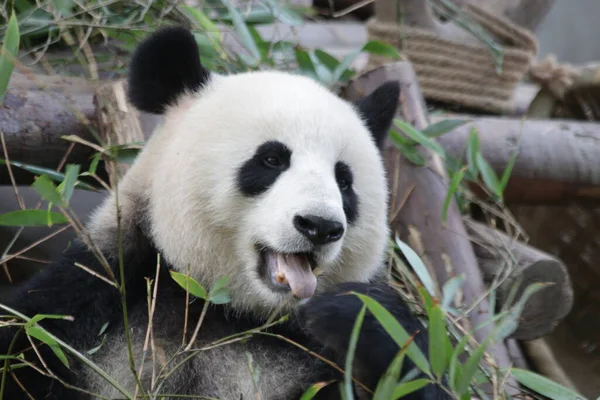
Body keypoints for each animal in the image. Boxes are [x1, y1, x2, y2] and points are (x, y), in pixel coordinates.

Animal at [0, 26, 450, 398]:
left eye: (344, 181)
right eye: (271, 160)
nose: (320, 226)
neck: (224, 309)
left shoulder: (318, 360)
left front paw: (354, 314)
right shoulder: (85, 307)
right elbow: (24, 349)